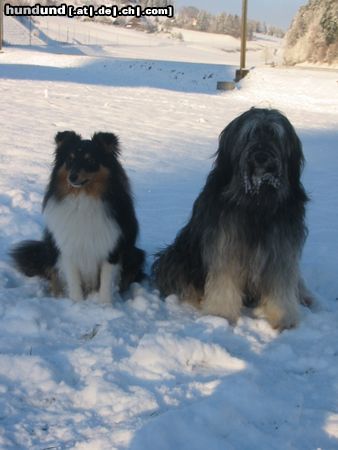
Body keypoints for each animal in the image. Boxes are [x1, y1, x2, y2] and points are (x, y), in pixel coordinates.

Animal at [152, 107, 312, 328]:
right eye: (250, 134)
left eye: (273, 135)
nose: (261, 156)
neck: (257, 202)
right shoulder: (225, 245)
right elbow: (223, 282)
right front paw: (219, 316)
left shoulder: (282, 250)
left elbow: (282, 286)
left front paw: (284, 318)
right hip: (178, 257)